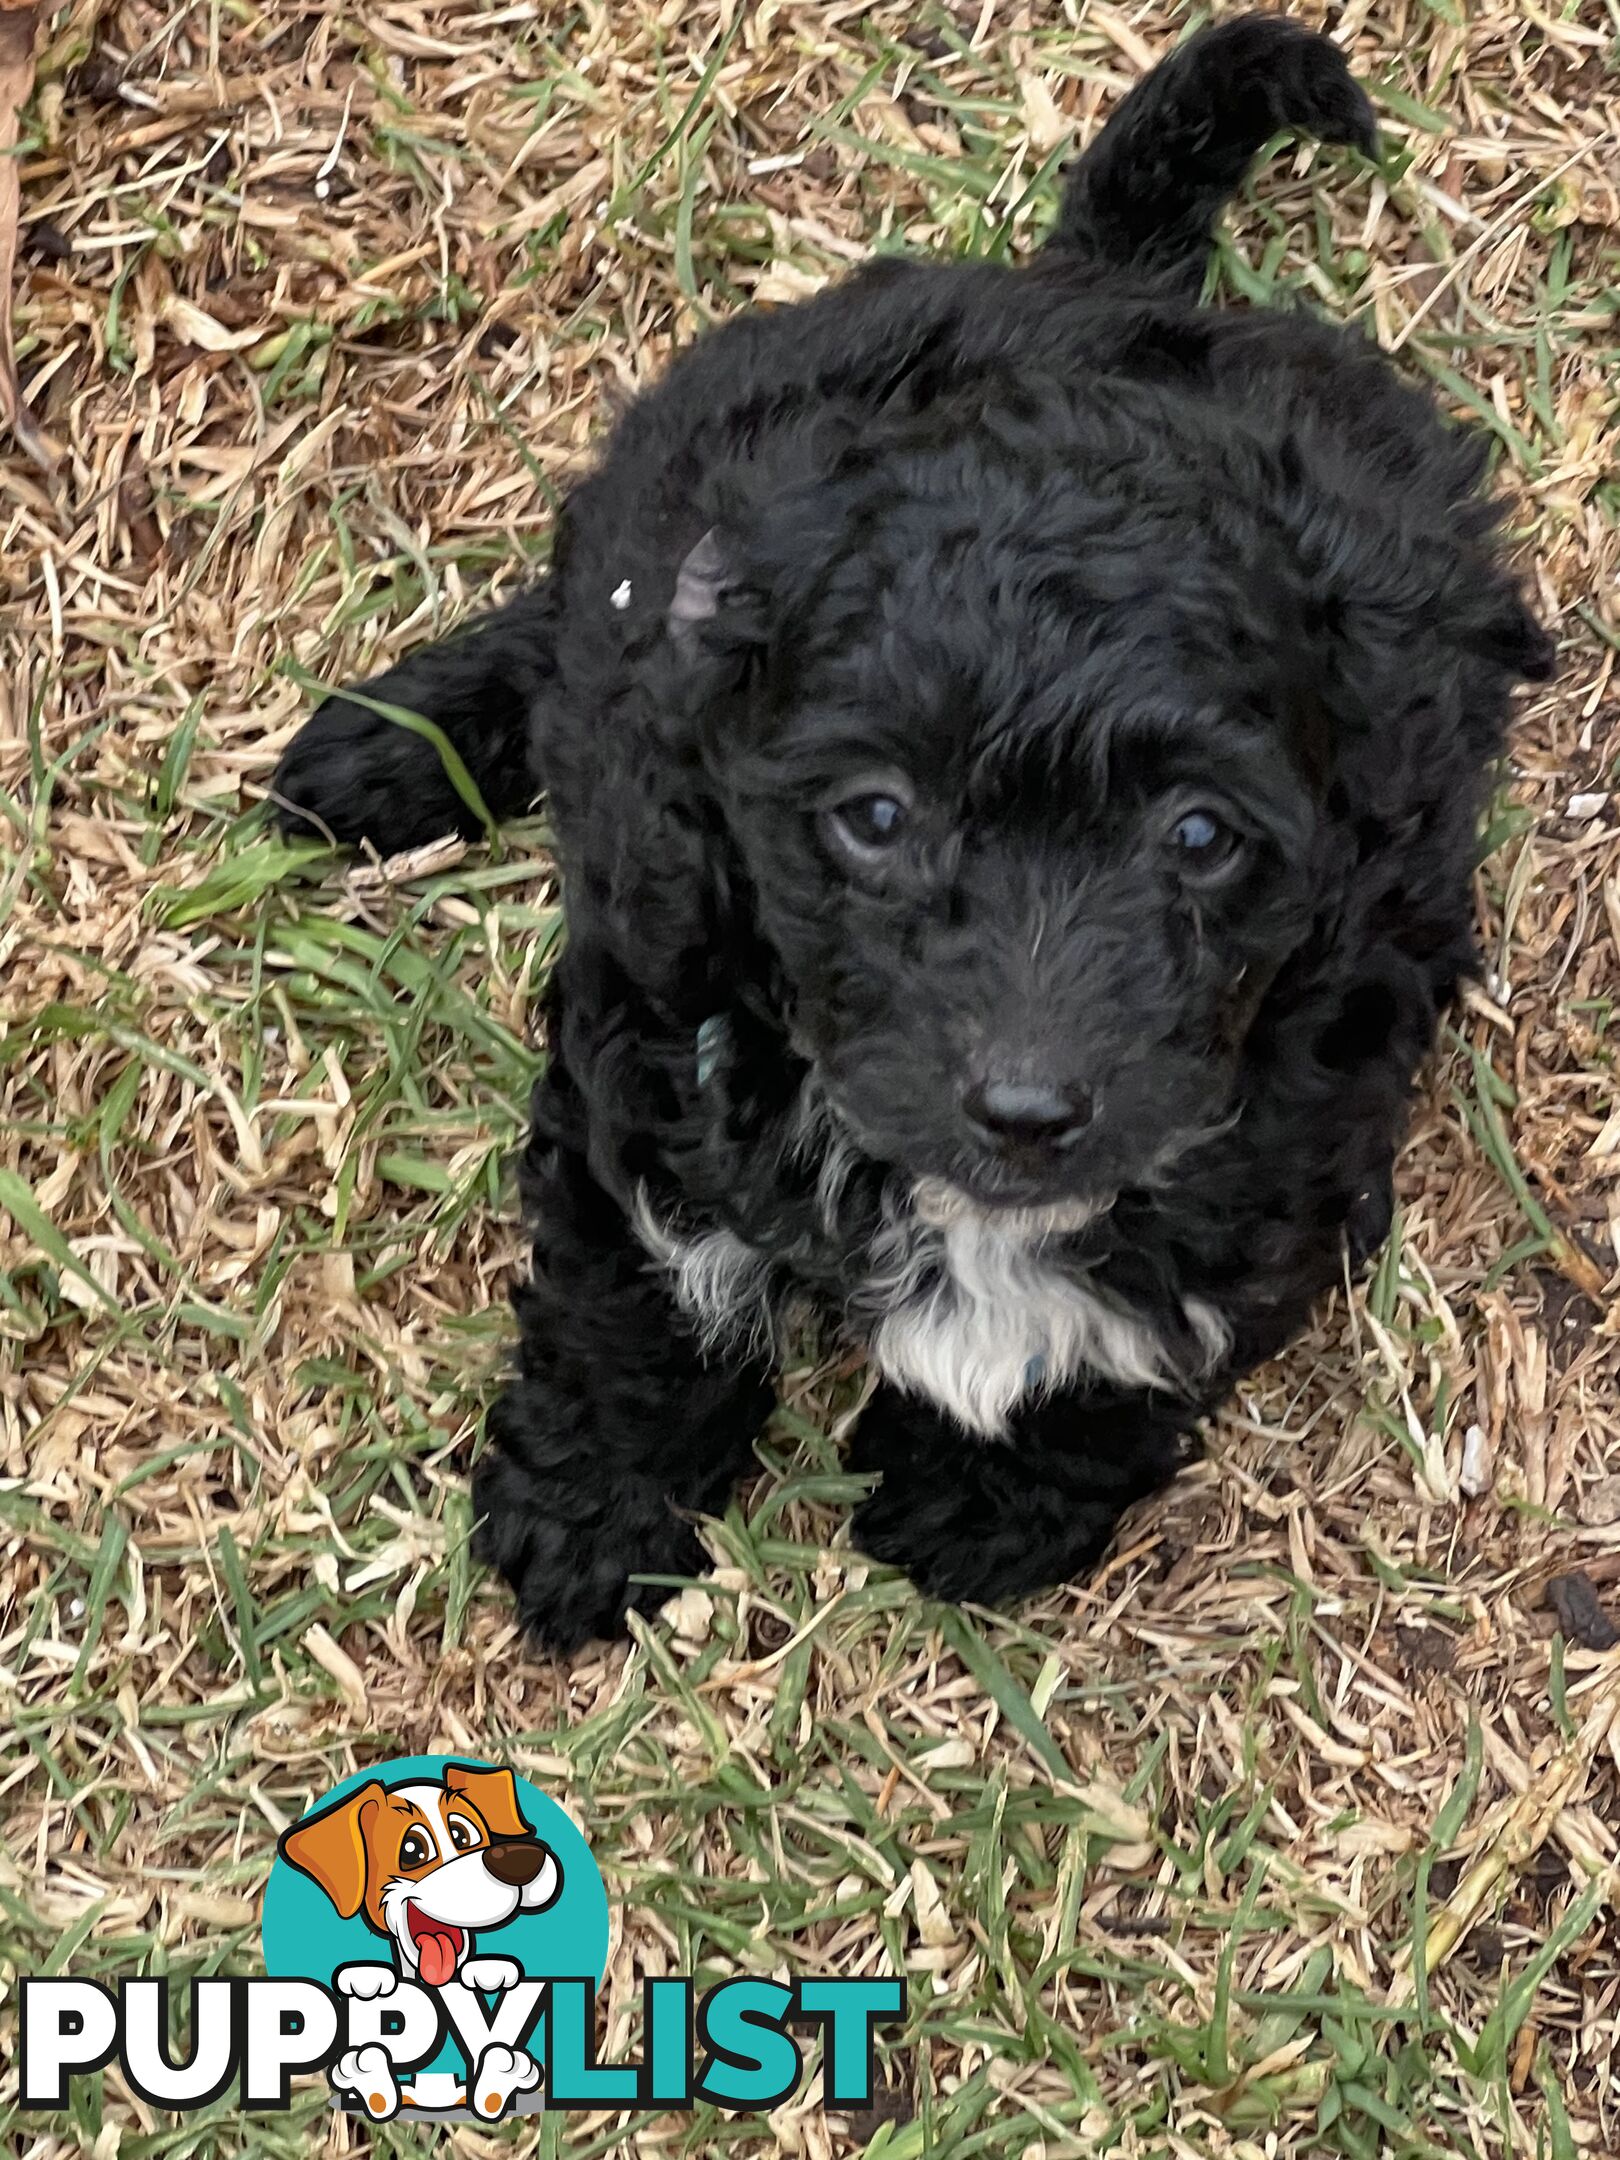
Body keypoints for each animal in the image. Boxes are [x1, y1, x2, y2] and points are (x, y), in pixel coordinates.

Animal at [276, 16, 1546, 1641]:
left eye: (1201, 837)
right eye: (874, 819)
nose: (1026, 1111)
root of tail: (1096, 286)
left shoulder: (1321, 1072)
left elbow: (1153, 1312)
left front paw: (983, 1493)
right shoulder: (650, 1016)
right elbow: (633, 1282)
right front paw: (592, 1508)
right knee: (565, 617)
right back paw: (385, 750)